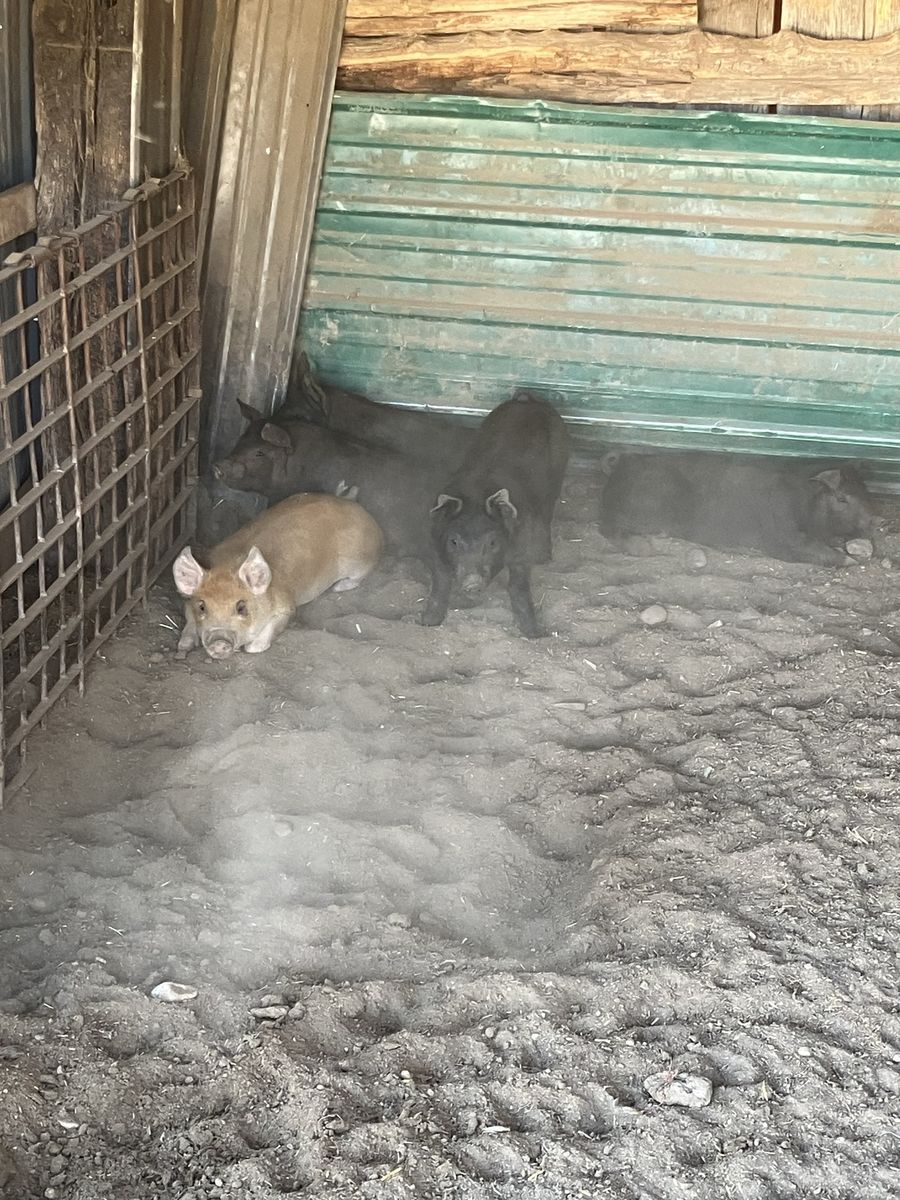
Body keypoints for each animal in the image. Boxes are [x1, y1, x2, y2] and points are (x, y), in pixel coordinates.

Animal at [172, 493, 383, 659]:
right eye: (202, 606)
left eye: (241, 607)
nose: (218, 641)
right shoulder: (187, 603)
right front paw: (183, 647)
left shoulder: (286, 607)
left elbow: (261, 641)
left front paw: (252, 647)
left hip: (360, 561)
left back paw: (338, 587)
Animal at [423, 391, 569, 637]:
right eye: (454, 541)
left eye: (492, 542)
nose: (472, 582)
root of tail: (526, 399)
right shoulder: (434, 540)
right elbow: (440, 582)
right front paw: (426, 622)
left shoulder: (521, 549)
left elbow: (518, 588)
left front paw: (534, 634)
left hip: (558, 473)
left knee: (548, 512)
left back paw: (545, 557)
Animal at [600, 449, 878, 566]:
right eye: (841, 498)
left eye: (865, 490)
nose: (876, 520)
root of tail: (621, 464)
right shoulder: (782, 534)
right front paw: (852, 561)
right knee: (609, 529)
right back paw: (646, 546)